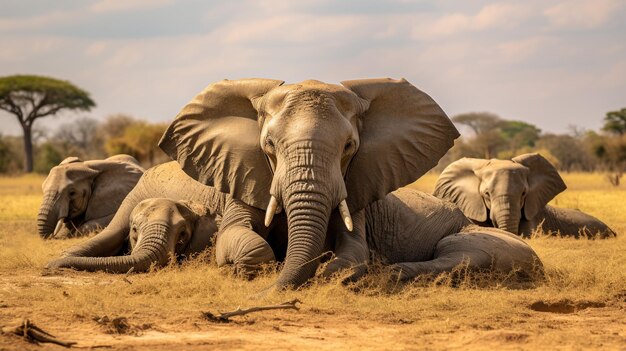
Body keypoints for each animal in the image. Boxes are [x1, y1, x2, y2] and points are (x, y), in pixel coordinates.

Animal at [156, 78, 458, 290]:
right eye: (269, 144)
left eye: (349, 146)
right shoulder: (245, 174)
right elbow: (234, 233)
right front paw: (243, 269)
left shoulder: (357, 181)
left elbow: (355, 250)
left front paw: (329, 270)